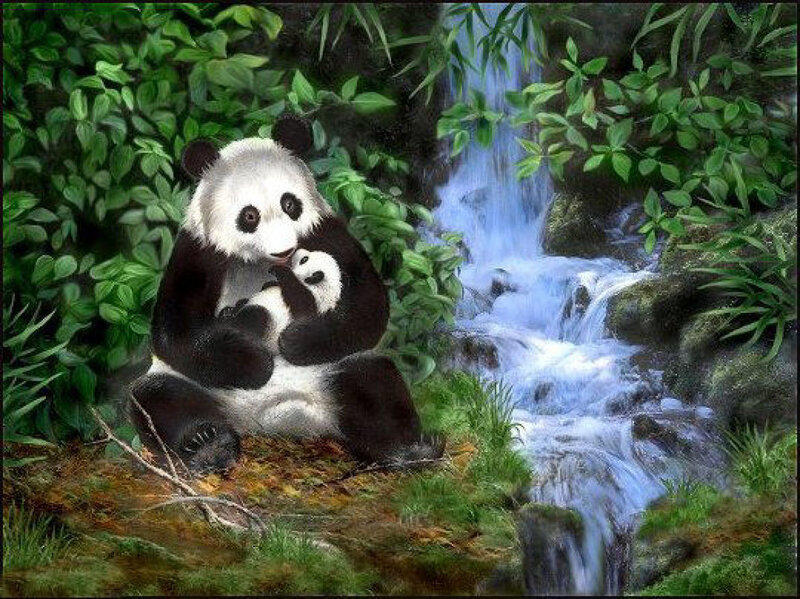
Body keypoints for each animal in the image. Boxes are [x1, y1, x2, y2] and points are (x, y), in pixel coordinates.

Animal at [131, 115, 442, 473]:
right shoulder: (199, 250)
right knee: (158, 398)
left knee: (374, 381)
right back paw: (208, 445)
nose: (284, 251)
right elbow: (174, 330)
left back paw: (406, 451)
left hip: (331, 369)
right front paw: (256, 362)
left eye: (289, 203)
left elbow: (368, 305)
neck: (260, 261)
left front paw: (295, 341)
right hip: (201, 387)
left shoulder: (325, 232)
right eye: (249, 216)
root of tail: (272, 418)